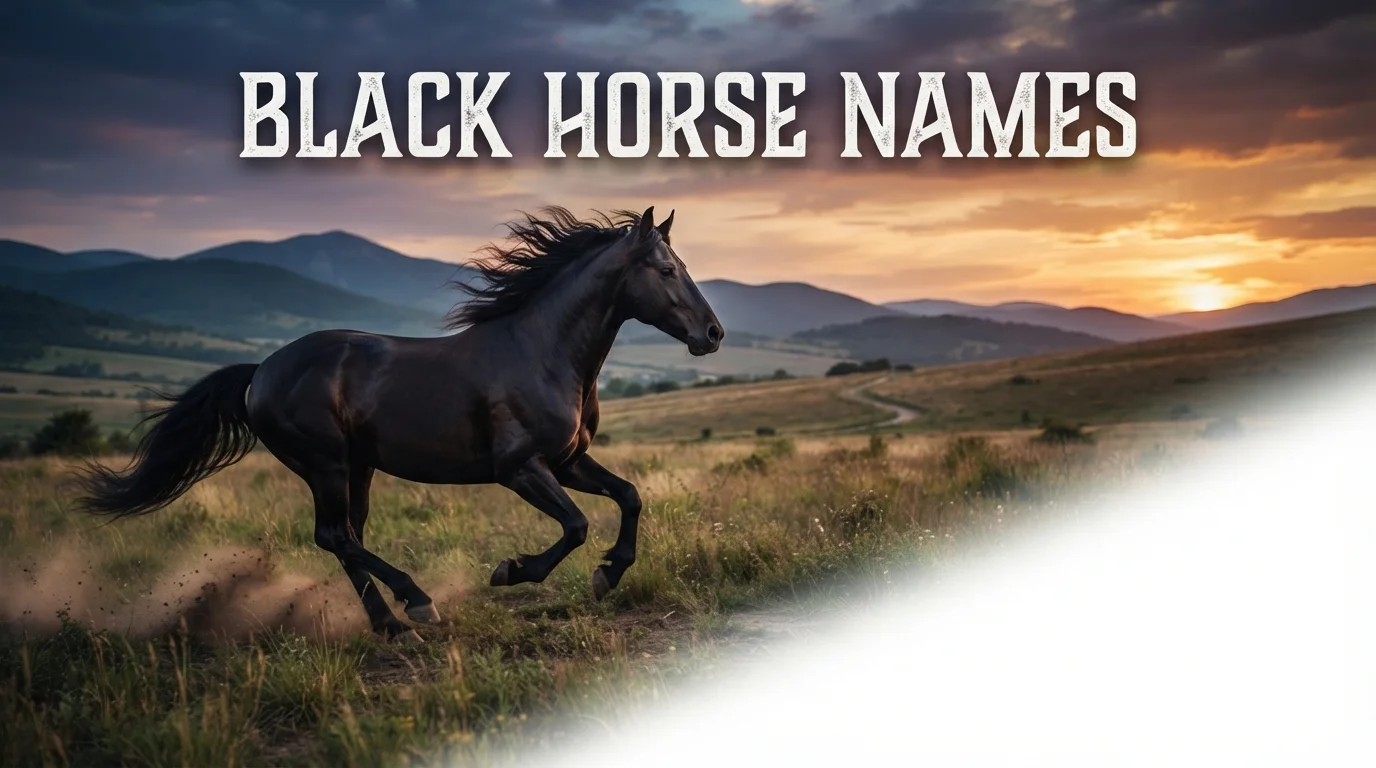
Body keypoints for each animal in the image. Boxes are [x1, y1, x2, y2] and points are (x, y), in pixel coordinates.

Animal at [76, 206, 723, 643]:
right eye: (666, 270)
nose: (713, 334)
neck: (541, 351)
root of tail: (261, 372)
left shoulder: (567, 460)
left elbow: (630, 495)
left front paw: (609, 575)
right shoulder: (520, 468)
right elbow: (576, 525)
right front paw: (513, 571)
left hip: (356, 468)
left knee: (347, 538)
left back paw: (392, 624)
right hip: (326, 462)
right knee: (335, 536)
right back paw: (416, 604)